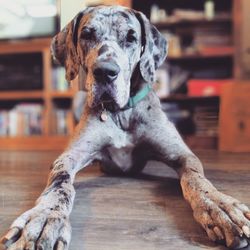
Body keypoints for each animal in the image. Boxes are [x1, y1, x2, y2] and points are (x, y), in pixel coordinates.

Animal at [0, 4, 249, 249]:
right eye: (86, 35)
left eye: (131, 38)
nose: (105, 72)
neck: (121, 113)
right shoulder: (69, 156)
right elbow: (60, 185)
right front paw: (44, 216)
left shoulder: (183, 155)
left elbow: (196, 180)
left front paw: (221, 207)